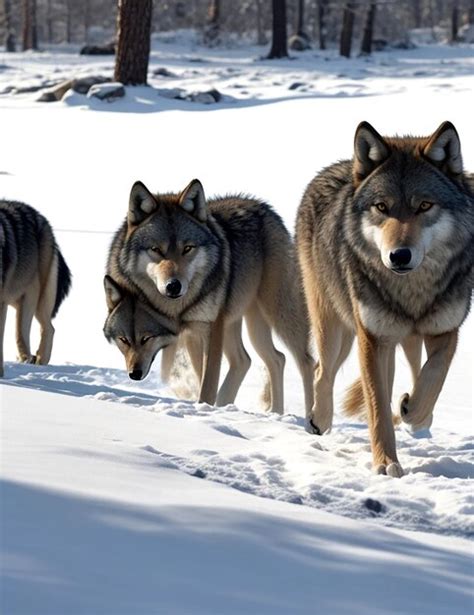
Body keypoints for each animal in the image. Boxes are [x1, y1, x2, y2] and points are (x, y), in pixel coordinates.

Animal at [0, 201, 72, 376]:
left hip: (34, 300)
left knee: (47, 329)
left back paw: (38, 360)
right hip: (16, 302)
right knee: (24, 334)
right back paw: (27, 359)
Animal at [107, 180, 314, 416]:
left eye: (187, 248)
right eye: (156, 249)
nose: (173, 286)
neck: (176, 310)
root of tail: (262, 206)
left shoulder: (210, 329)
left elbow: (208, 384)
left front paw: (205, 409)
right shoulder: (192, 334)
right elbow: (202, 379)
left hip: (277, 314)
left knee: (306, 362)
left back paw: (311, 418)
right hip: (244, 323)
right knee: (267, 359)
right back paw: (270, 412)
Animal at [296, 120, 474, 476]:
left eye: (424, 206)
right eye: (382, 207)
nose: (399, 256)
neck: (412, 293)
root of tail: (337, 168)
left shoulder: (445, 331)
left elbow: (433, 378)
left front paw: (413, 411)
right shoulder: (374, 338)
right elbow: (377, 406)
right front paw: (386, 464)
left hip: (395, 339)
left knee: (412, 369)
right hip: (336, 327)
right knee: (322, 370)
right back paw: (319, 419)